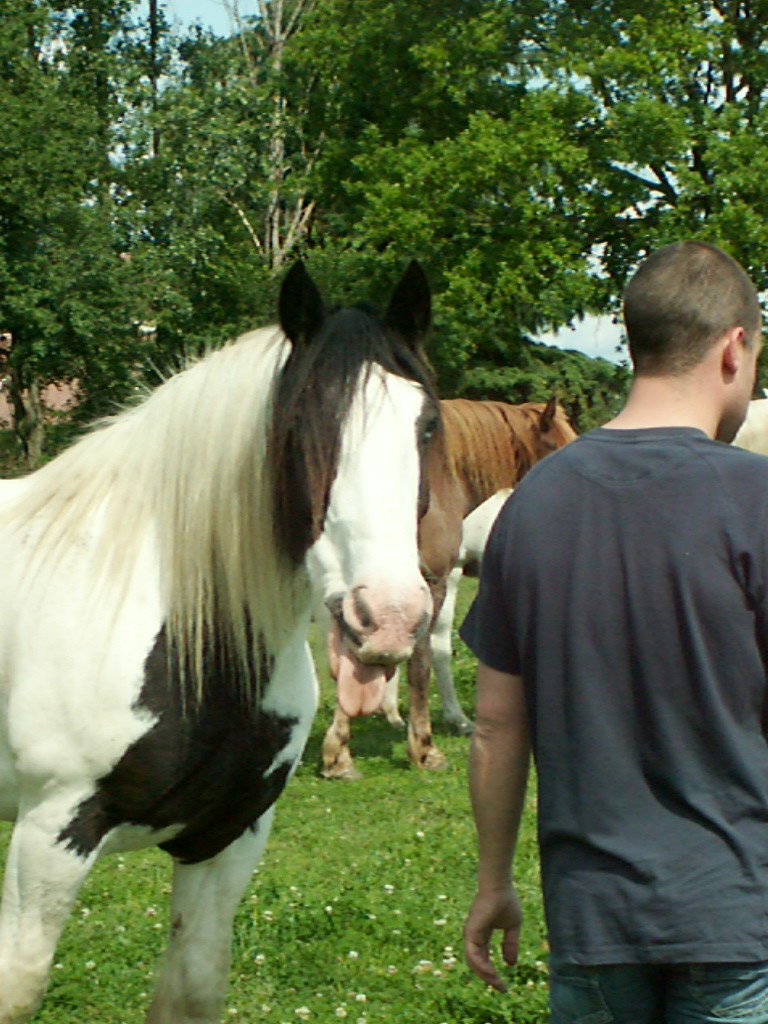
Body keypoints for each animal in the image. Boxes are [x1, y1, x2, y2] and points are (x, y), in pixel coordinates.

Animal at [0, 260, 438, 1019]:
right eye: (304, 421)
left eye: (428, 427)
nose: (387, 618)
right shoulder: (49, 835)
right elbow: (18, 986)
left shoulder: (228, 838)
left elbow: (195, 985)